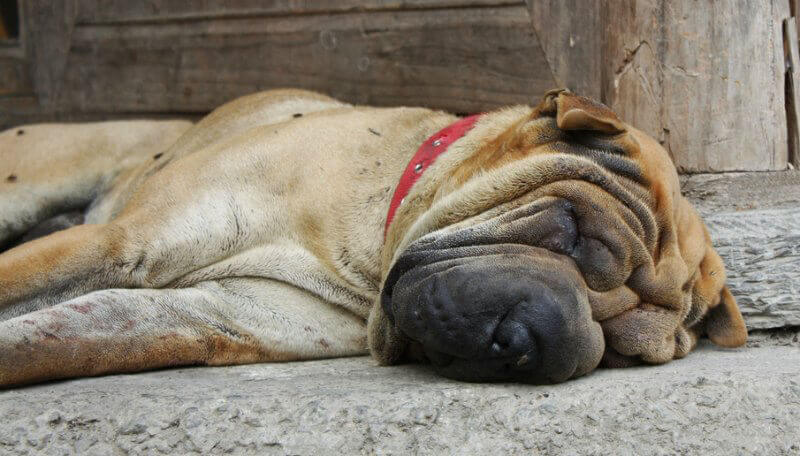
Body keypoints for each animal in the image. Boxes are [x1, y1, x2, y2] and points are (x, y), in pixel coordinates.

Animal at [0, 88, 744, 384]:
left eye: (623, 353)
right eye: (571, 233)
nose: (532, 348)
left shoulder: (212, 313)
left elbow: (55, 340)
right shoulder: (122, 243)